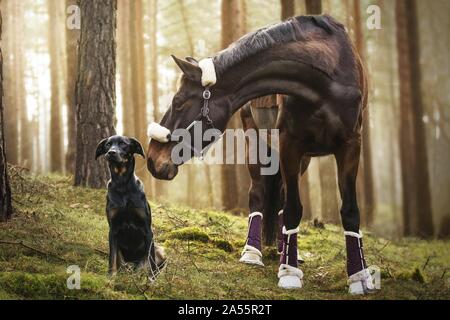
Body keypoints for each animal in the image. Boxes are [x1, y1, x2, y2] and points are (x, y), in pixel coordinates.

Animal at [96, 135, 166, 278]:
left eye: (123, 144)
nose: (111, 152)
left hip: (160, 250)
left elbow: (151, 258)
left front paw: (152, 278)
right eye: (107, 145)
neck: (122, 185)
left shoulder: (147, 229)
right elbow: (112, 257)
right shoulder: (113, 230)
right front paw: (111, 276)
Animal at [149, 15, 376, 296]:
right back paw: (254, 252)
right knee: (258, 194)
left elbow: (349, 211)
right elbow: (292, 208)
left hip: (303, 158)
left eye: (179, 102)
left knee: (280, 195)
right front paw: (289, 273)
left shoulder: (350, 145)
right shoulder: (290, 143)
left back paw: (283, 250)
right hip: (256, 144)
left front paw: (359, 276)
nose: (151, 158)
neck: (326, 78)